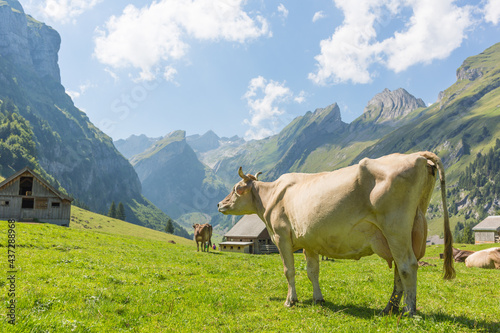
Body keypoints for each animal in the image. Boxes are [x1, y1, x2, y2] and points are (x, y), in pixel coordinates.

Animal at [217, 150, 456, 314]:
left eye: (235, 189)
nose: (220, 204)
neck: (271, 195)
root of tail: (416, 155)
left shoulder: (281, 237)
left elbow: (289, 271)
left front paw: (290, 300)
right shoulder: (309, 242)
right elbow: (312, 271)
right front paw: (318, 298)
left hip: (395, 228)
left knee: (407, 265)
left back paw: (409, 310)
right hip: (407, 231)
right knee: (399, 267)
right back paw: (389, 308)